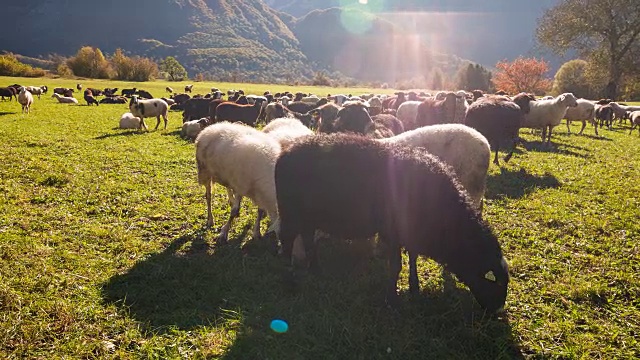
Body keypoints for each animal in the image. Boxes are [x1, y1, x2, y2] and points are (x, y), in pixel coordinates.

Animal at [276, 135, 510, 312]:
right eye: (495, 281)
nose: (498, 311)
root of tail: (284, 154)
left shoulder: (411, 232)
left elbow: (413, 256)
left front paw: (414, 286)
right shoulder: (393, 232)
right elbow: (395, 265)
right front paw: (392, 299)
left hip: (309, 214)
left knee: (307, 238)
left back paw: (316, 270)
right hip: (290, 212)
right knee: (287, 243)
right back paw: (288, 283)